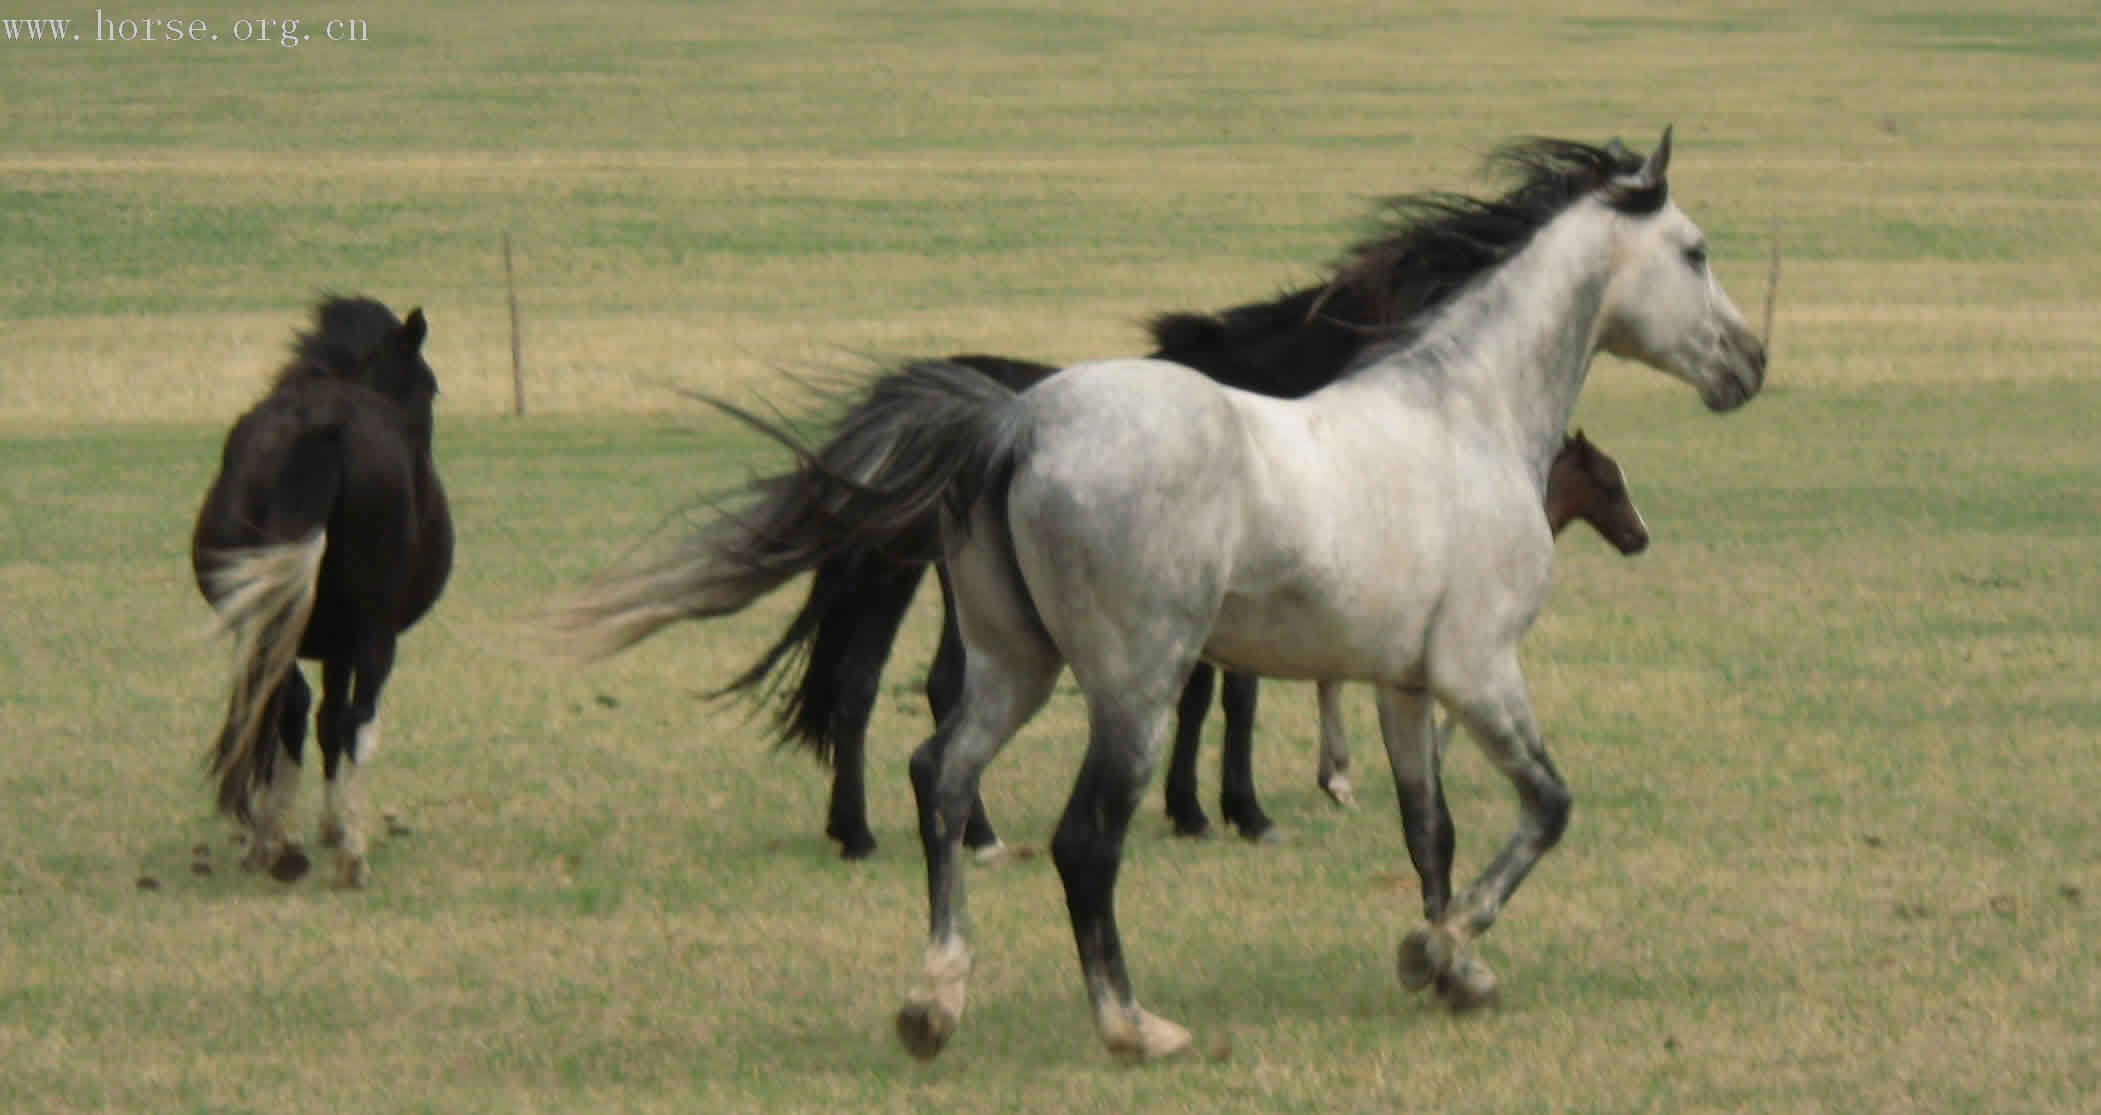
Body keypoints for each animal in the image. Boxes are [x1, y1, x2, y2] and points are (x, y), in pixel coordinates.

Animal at [192, 296, 451, 890]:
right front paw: (335, 826)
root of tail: (323, 425)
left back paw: (279, 845)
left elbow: (310, 716)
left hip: (271, 620)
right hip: (374, 633)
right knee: (354, 720)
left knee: (286, 704)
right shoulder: (350, 644)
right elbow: (336, 720)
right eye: (430, 388)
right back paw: (345, 853)